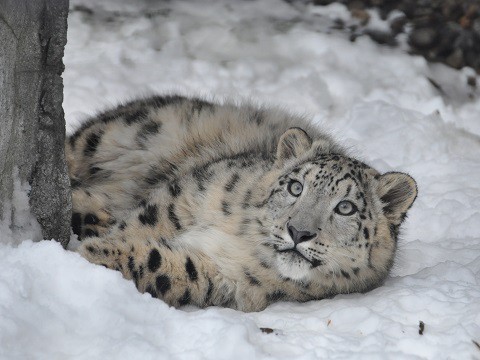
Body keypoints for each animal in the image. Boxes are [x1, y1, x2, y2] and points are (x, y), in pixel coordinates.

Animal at [67, 95, 416, 312]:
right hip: (110, 136)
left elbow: (161, 264)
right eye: (296, 186)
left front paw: (89, 254)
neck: (245, 239)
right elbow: (144, 223)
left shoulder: (225, 277)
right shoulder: (185, 195)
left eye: (345, 207)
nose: (298, 232)